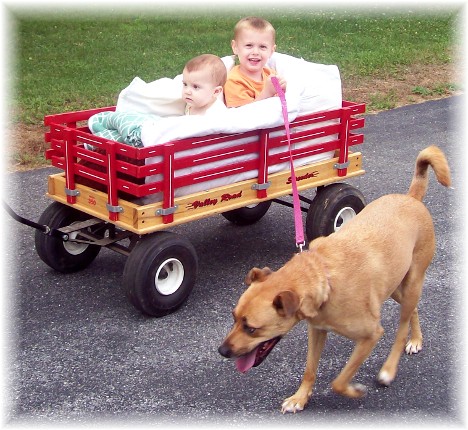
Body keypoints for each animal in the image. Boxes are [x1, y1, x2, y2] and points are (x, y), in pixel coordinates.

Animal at [218, 147, 452, 414]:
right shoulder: (317, 330)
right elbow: (309, 370)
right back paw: (416, 339)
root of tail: (411, 198)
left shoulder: (371, 335)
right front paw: (300, 398)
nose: (222, 351)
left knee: (402, 327)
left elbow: (339, 381)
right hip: (394, 285)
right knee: (412, 308)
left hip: (412, 281)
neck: (323, 278)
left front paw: (354, 390)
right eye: (234, 318)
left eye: (251, 329)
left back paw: (392, 365)